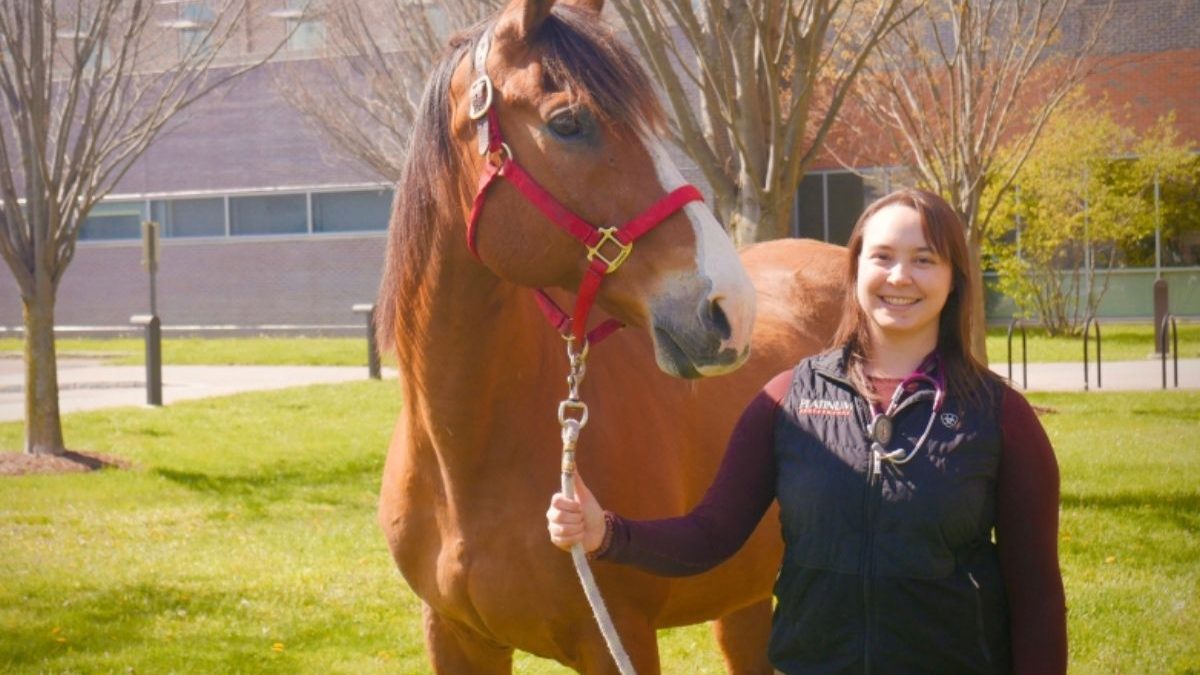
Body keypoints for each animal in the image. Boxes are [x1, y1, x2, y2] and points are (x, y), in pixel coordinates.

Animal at [374, 0, 847, 672]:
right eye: (568, 122)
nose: (731, 309)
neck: (463, 454)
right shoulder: (454, 637)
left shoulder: (618, 638)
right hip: (745, 603)